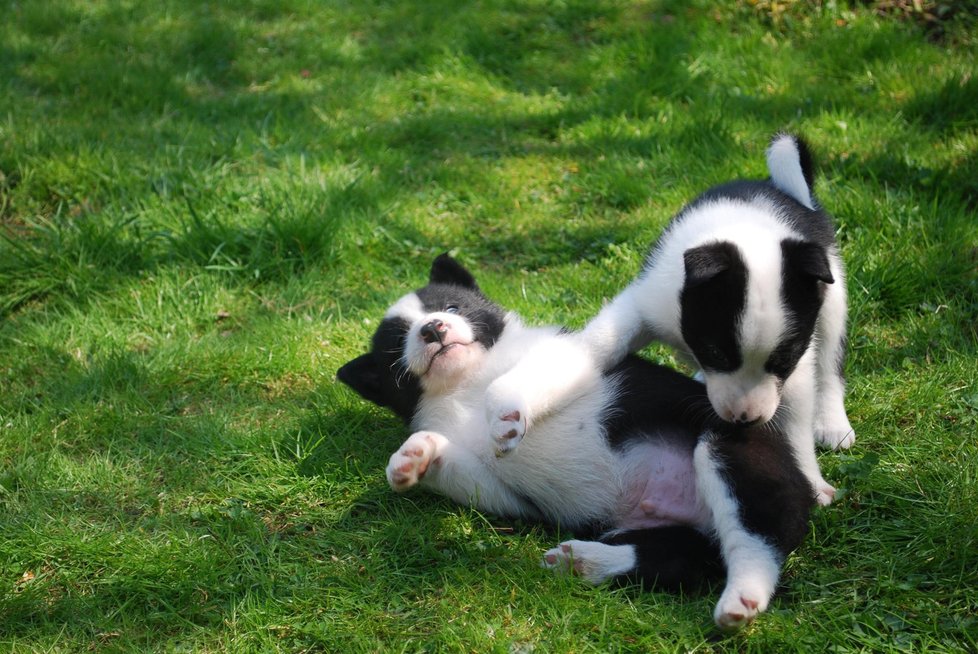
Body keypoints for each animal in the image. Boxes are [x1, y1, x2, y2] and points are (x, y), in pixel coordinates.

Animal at [340, 255, 812, 632]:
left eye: (452, 307)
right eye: (395, 346)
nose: (432, 327)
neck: (465, 384)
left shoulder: (567, 356)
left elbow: (514, 385)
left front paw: (505, 414)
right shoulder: (504, 492)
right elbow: (452, 459)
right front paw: (411, 460)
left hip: (732, 454)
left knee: (757, 539)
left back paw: (742, 598)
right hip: (663, 528)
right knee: (683, 560)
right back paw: (585, 561)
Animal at [492, 133, 852, 510]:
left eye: (784, 360)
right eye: (716, 353)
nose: (745, 420)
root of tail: (779, 188)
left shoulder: (797, 362)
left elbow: (794, 421)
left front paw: (809, 479)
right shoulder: (646, 306)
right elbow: (584, 351)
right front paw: (513, 408)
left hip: (832, 299)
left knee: (829, 363)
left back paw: (832, 422)